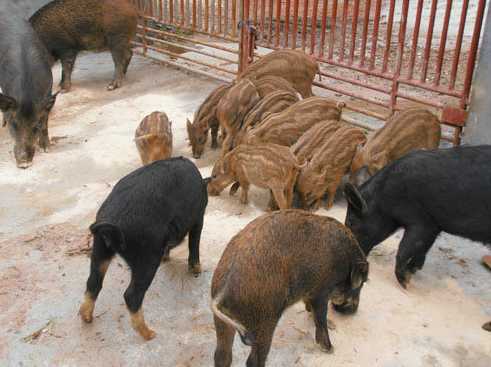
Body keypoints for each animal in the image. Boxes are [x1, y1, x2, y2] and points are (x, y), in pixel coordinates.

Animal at [0, 2, 57, 168]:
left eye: (35, 126)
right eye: (14, 125)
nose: (24, 163)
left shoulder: (48, 89)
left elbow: (45, 119)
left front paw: (46, 148)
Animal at [80, 158, 209, 342]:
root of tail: (113, 221)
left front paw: (167, 258)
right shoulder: (199, 217)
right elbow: (194, 243)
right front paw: (197, 270)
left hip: (100, 249)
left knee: (93, 282)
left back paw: (87, 318)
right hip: (147, 256)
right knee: (131, 295)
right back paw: (150, 334)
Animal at [211, 210, 368, 367]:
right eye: (361, 284)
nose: (353, 311)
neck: (344, 263)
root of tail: (222, 292)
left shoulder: (310, 292)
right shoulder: (321, 291)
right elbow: (321, 317)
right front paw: (330, 349)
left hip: (223, 323)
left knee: (222, 356)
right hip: (265, 320)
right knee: (253, 360)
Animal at [344, 145, 491, 288]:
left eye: (351, 222)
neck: (384, 199)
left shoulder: (421, 221)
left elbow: (405, 248)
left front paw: (405, 283)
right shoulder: (434, 226)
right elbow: (423, 248)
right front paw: (413, 271)